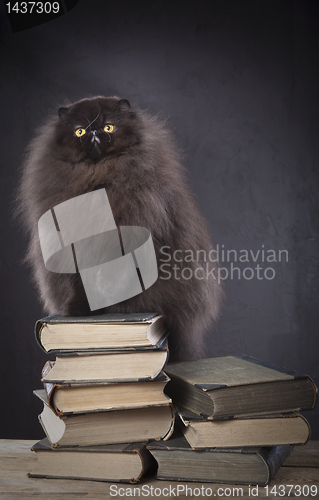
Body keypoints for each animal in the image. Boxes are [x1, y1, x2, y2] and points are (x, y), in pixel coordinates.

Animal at [16, 95, 224, 360]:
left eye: (108, 127)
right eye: (79, 131)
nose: (93, 132)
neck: (96, 183)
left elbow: (110, 279)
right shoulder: (75, 251)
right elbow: (80, 284)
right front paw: (78, 309)